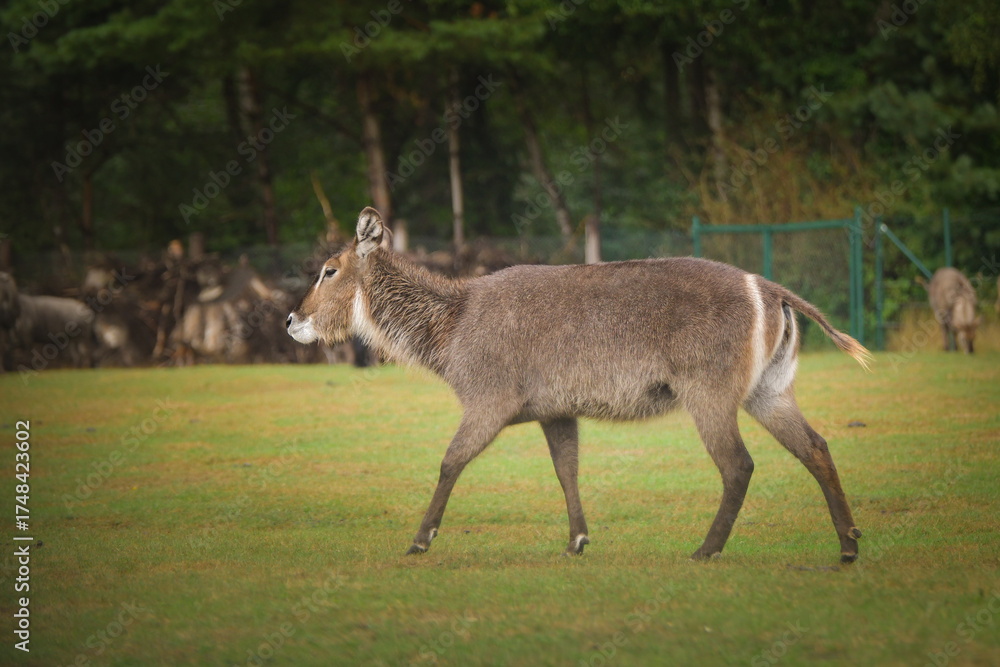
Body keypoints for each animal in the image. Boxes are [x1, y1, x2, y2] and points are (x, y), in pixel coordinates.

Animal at [287, 208, 871, 563]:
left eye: (329, 269)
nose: (292, 320)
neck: (449, 329)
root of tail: (772, 290)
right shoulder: (554, 410)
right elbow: (566, 470)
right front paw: (577, 541)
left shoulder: (488, 399)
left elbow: (451, 460)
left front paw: (420, 539)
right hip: (769, 389)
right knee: (816, 446)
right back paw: (848, 545)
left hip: (710, 391)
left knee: (739, 464)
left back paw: (705, 549)